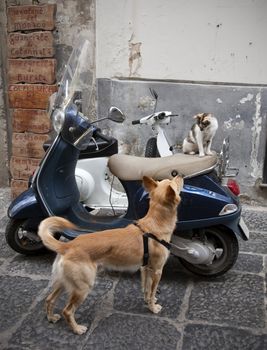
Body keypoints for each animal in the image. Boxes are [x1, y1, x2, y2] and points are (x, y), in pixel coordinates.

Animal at [38, 175, 184, 334]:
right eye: (174, 182)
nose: (180, 175)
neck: (155, 223)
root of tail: (67, 245)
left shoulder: (145, 268)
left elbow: (146, 288)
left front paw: (147, 301)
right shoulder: (157, 271)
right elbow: (152, 291)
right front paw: (153, 308)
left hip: (64, 282)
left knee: (49, 299)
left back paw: (51, 318)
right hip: (83, 287)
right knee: (67, 310)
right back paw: (77, 329)